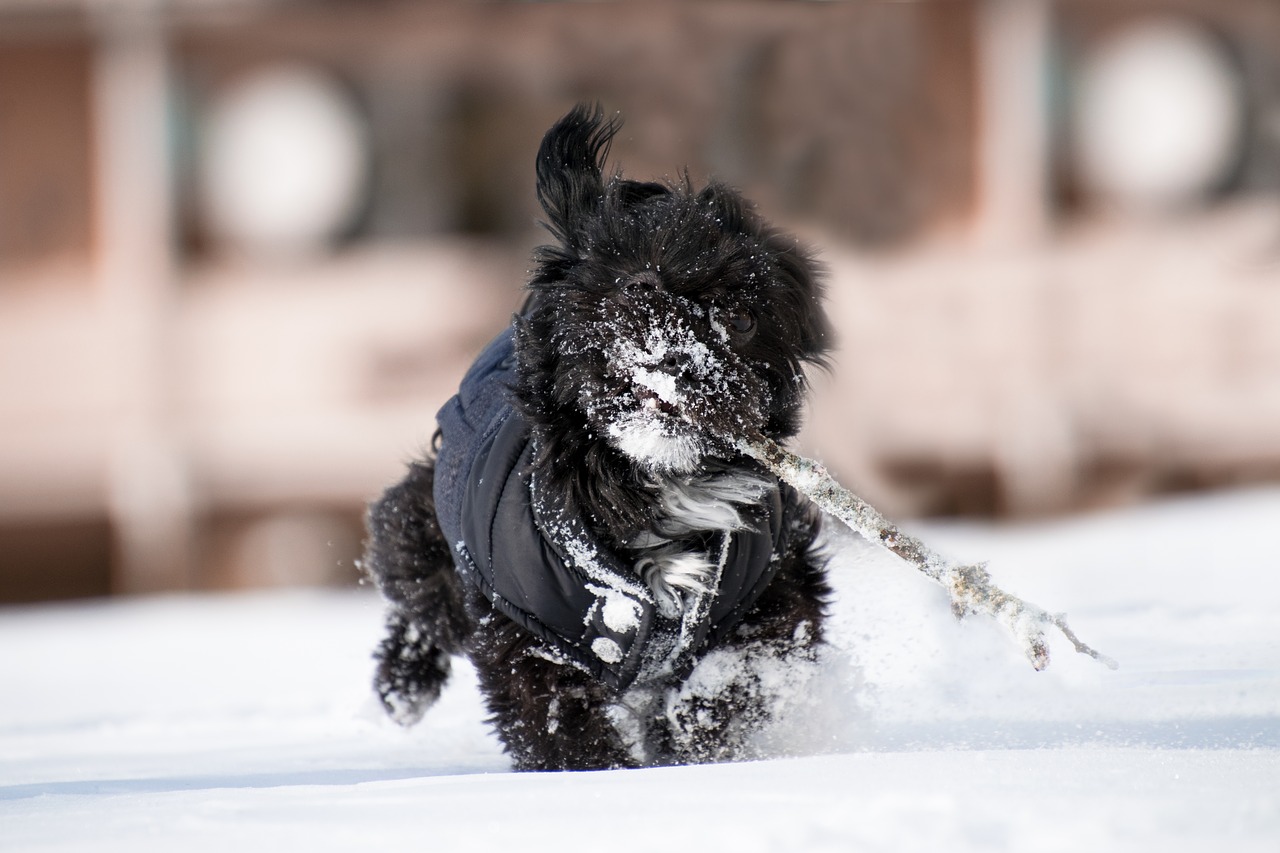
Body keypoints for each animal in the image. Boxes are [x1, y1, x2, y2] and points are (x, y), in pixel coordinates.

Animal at [366, 103, 834, 768]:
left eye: (740, 318)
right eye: (627, 284)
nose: (673, 341)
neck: (653, 485)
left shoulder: (774, 585)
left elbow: (738, 678)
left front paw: (690, 741)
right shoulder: (524, 633)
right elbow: (558, 722)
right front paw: (602, 773)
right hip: (430, 535)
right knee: (420, 599)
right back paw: (402, 684)